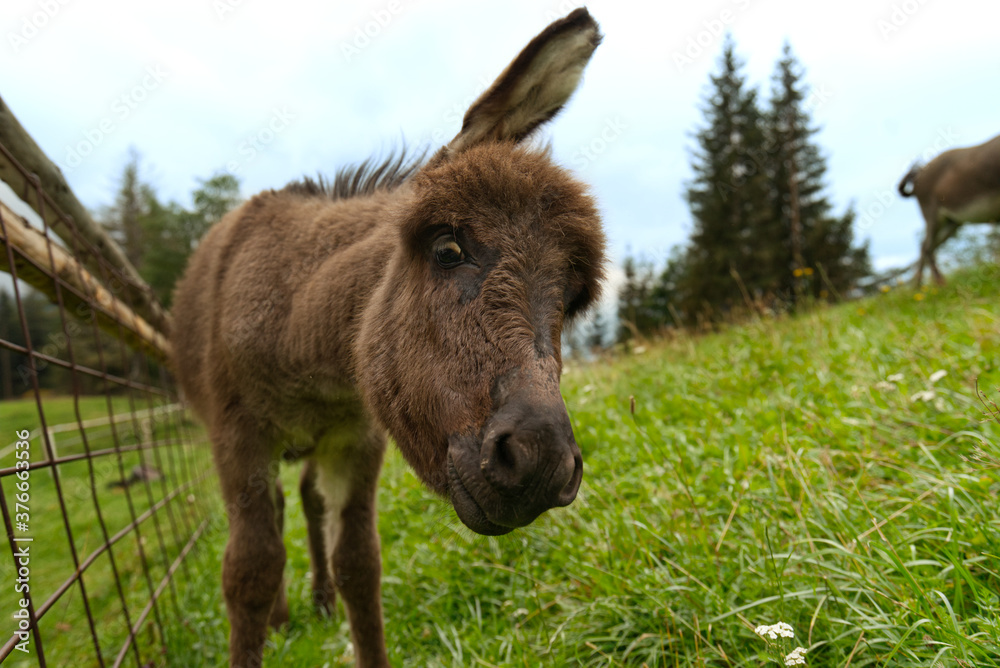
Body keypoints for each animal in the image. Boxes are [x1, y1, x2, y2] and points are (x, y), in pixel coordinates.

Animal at [171, 9, 604, 668]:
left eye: (574, 298)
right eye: (447, 248)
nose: (540, 464)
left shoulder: (356, 436)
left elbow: (359, 564)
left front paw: (337, 597)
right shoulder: (237, 435)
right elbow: (250, 571)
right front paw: (263, 618)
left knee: (308, 501)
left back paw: (317, 601)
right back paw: (283, 616)